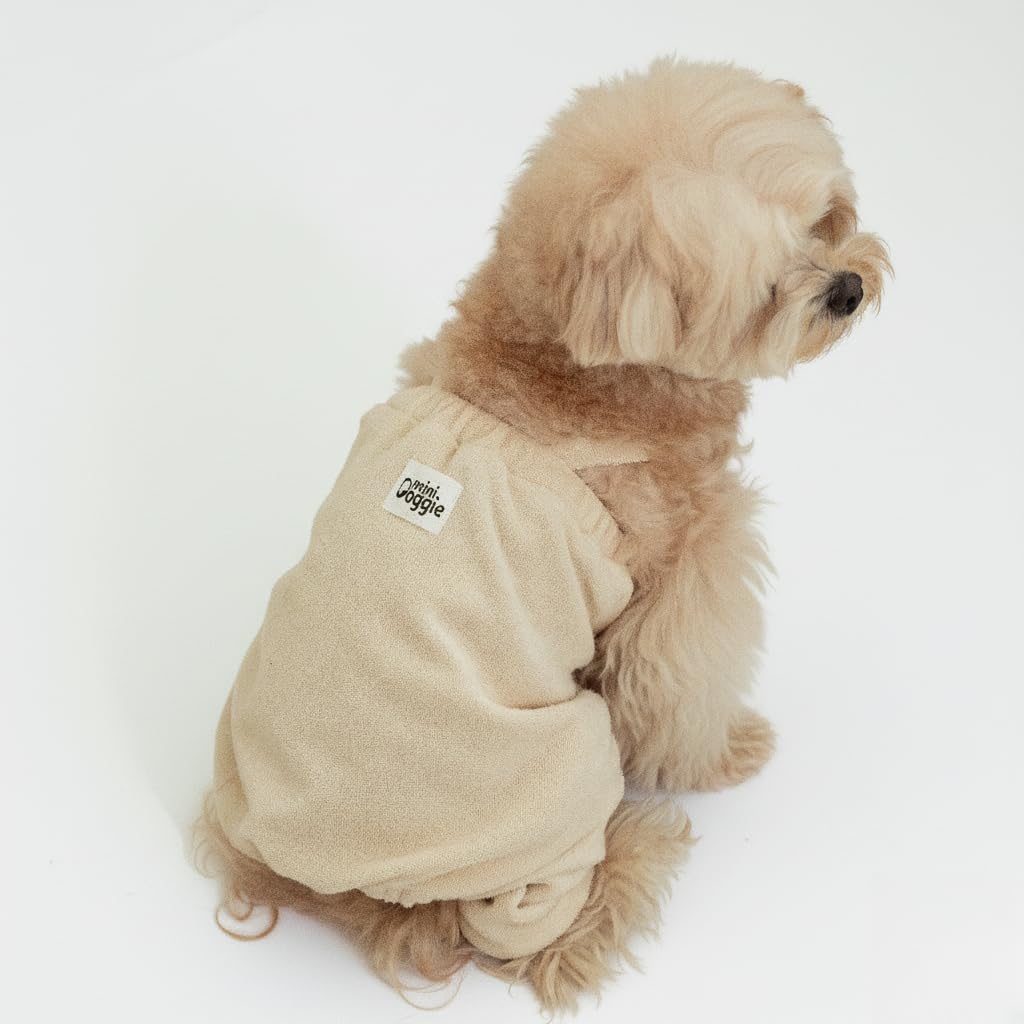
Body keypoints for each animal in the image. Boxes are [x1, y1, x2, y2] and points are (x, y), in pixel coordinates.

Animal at [196, 56, 889, 1013]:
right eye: (759, 283)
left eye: (822, 218)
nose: (848, 288)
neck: (566, 365)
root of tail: (340, 888)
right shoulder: (685, 587)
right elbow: (680, 694)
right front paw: (727, 754)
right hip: (565, 773)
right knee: (546, 942)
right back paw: (635, 853)